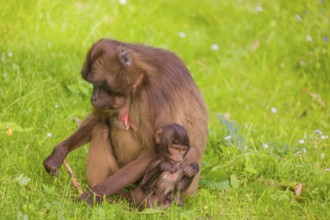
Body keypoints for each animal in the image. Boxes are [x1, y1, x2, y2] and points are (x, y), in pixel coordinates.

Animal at [43, 38, 209, 205]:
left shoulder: (157, 93)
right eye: (93, 85)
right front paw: (59, 152)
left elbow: (153, 152)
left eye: (100, 85)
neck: (141, 77)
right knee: (102, 127)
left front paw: (94, 194)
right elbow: (99, 118)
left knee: (193, 150)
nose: (93, 98)